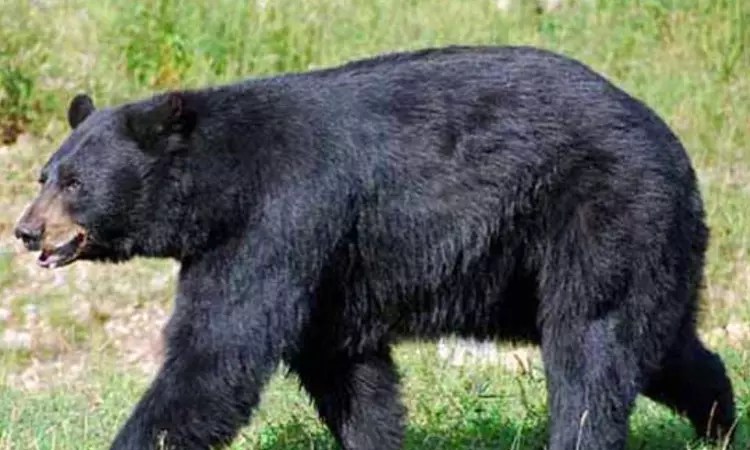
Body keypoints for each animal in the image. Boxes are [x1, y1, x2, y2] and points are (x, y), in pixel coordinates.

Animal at [14, 45, 735, 450]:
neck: (222, 186)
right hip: (615, 248)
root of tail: (671, 144)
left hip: (601, 212)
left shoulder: (280, 220)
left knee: (591, 346)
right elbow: (347, 372)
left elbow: (218, 353)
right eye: (44, 174)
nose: (26, 231)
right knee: (657, 342)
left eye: (75, 183)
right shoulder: (327, 270)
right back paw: (721, 420)